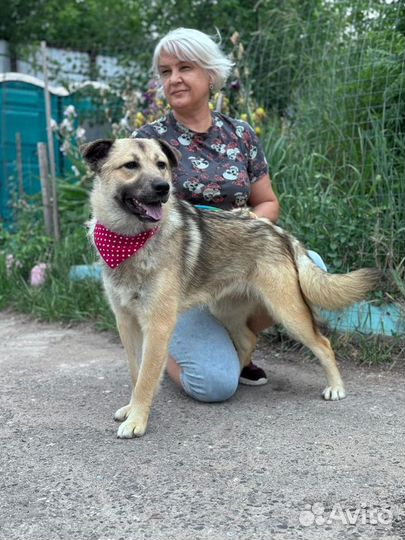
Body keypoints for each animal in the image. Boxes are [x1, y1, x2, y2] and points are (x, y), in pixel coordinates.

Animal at [81, 137, 382, 436]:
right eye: (131, 165)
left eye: (161, 165)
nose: (163, 188)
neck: (128, 240)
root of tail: (277, 232)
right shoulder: (126, 322)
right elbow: (136, 373)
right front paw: (133, 409)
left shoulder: (157, 325)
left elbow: (145, 378)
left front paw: (137, 421)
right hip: (226, 310)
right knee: (248, 339)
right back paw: (238, 373)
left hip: (288, 311)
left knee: (323, 343)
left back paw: (336, 387)